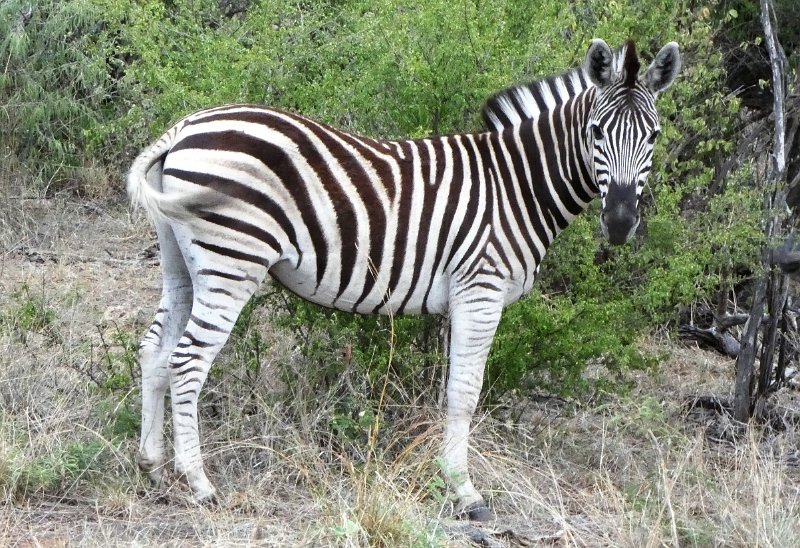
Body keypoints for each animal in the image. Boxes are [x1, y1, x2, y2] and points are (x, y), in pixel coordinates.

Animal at [127, 38, 680, 520]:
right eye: (596, 131)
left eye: (653, 136)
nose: (620, 223)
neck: (517, 186)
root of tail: (183, 128)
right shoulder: (481, 290)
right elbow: (465, 393)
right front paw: (464, 492)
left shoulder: (459, 299)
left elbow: (448, 390)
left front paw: (446, 476)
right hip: (232, 260)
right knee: (188, 361)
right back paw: (199, 483)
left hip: (180, 260)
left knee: (155, 350)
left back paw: (152, 466)